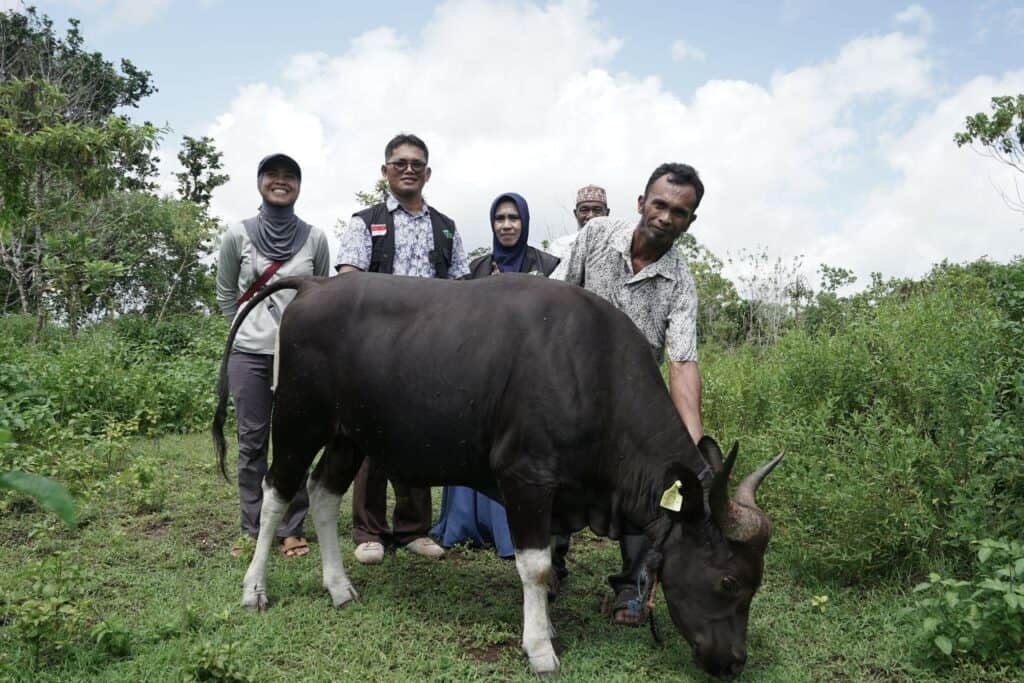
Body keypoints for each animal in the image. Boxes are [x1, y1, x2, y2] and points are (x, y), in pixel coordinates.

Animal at [211, 272, 778, 679]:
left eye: (757, 581)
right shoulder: (526, 477)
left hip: (350, 434)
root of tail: (313, 285)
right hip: (297, 418)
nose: (735, 661)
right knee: (277, 494)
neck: (591, 370)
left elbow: (546, 564)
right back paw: (254, 590)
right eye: (729, 580)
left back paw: (339, 588)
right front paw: (540, 649)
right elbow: (536, 567)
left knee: (323, 493)